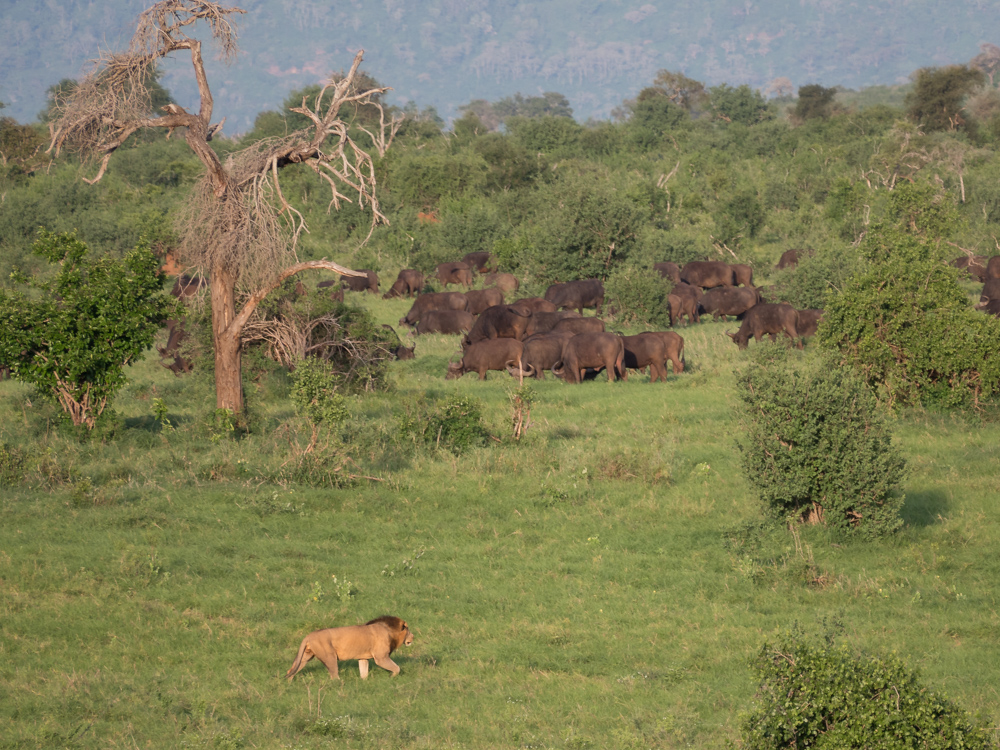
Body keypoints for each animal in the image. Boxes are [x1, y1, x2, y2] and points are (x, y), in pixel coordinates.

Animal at [286, 616, 414, 680]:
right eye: (408, 630)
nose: (413, 636)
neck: (389, 630)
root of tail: (308, 636)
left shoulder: (363, 658)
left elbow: (364, 672)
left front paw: (364, 681)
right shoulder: (381, 657)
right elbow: (397, 668)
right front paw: (391, 677)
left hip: (305, 657)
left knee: (291, 670)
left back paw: (289, 683)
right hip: (330, 657)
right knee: (334, 676)